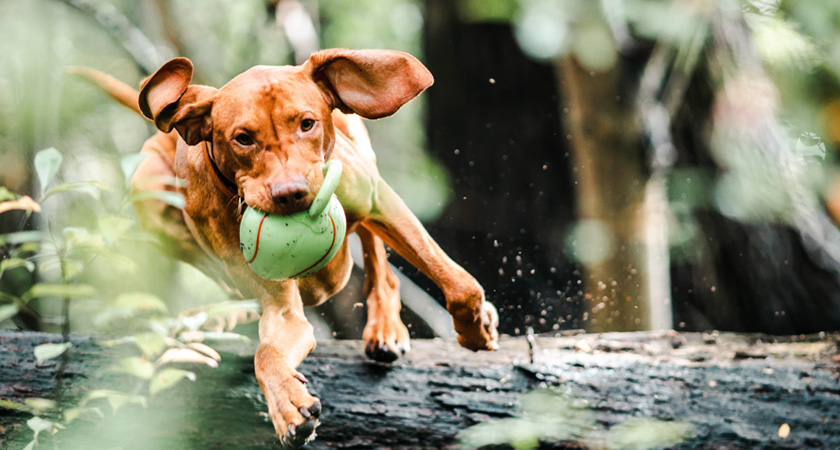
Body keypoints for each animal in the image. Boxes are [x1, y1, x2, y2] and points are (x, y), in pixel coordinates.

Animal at [74, 50, 498, 446]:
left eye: (307, 124)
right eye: (243, 138)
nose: (291, 193)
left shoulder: (379, 201)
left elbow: (459, 285)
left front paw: (476, 329)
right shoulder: (281, 308)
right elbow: (267, 352)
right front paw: (287, 405)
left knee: (378, 259)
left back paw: (385, 327)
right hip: (149, 192)